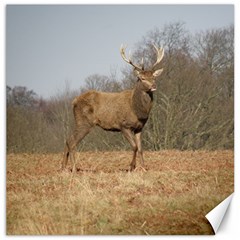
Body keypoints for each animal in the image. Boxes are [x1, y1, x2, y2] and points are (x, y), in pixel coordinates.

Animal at [62, 44, 164, 172]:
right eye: (142, 78)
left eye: (154, 77)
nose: (154, 86)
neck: (138, 110)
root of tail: (73, 101)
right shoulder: (124, 125)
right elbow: (134, 147)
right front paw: (131, 167)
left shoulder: (139, 128)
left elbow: (140, 148)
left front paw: (144, 168)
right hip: (84, 122)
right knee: (72, 141)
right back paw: (74, 168)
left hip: (80, 122)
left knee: (67, 139)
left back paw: (63, 167)